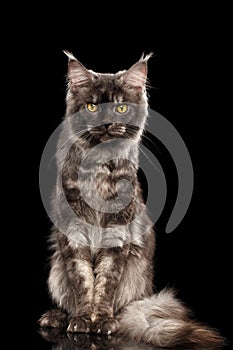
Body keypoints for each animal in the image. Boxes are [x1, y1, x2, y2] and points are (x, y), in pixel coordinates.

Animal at [39, 50, 225, 348]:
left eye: (121, 108)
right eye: (92, 107)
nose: (105, 123)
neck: (99, 169)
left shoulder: (118, 232)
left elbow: (105, 283)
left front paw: (101, 321)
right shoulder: (73, 233)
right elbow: (82, 280)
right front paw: (82, 320)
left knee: (123, 307)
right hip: (56, 270)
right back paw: (56, 317)